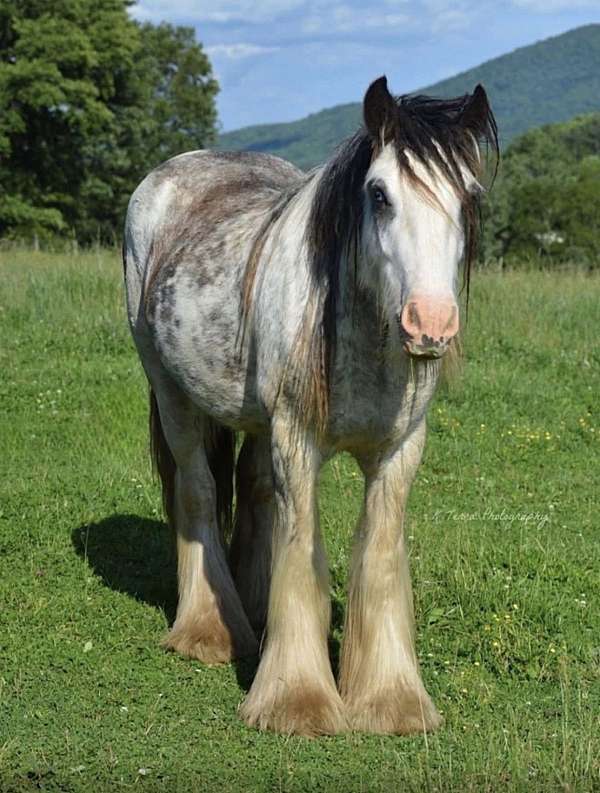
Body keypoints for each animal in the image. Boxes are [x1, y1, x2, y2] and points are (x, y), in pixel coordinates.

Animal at [123, 75, 498, 736]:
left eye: (469, 197)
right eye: (379, 194)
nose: (430, 323)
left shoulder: (400, 450)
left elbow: (378, 556)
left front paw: (390, 702)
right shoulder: (296, 441)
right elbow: (301, 556)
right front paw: (296, 702)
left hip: (252, 419)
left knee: (251, 490)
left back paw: (250, 610)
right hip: (171, 393)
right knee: (197, 492)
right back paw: (208, 632)